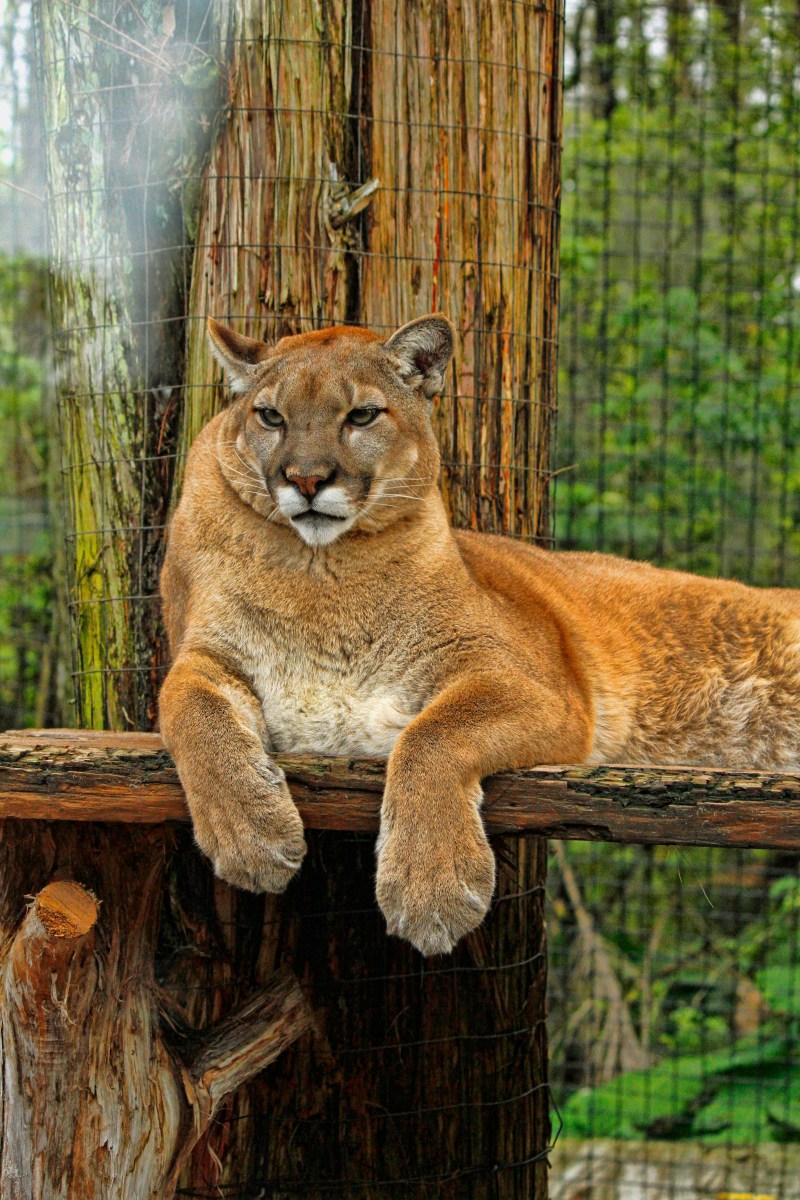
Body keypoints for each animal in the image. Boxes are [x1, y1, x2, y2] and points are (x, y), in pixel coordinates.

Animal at [158, 314, 800, 955]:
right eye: (271, 416)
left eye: (361, 415)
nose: (307, 479)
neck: (322, 576)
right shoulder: (207, 653)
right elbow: (185, 705)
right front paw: (251, 836)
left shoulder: (531, 682)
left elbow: (433, 735)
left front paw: (431, 888)